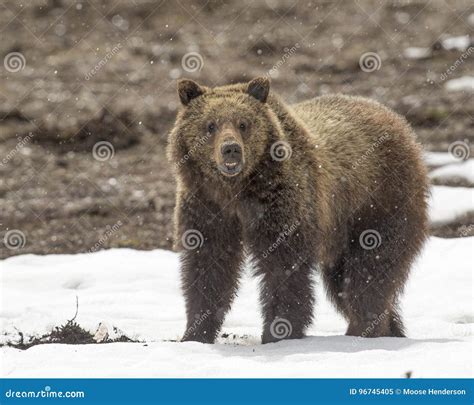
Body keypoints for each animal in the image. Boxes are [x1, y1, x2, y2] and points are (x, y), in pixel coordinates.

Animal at [168, 76, 430, 340]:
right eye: (210, 125)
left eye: (243, 123)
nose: (230, 148)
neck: (236, 190)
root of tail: (398, 122)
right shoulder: (207, 207)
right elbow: (208, 267)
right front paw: (195, 334)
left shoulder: (282, 204)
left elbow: (284, 270)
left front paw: (278, 332)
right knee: (344, 282)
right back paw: (390, 329)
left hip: (379, 206)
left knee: (369, 273)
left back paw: (362, 330)